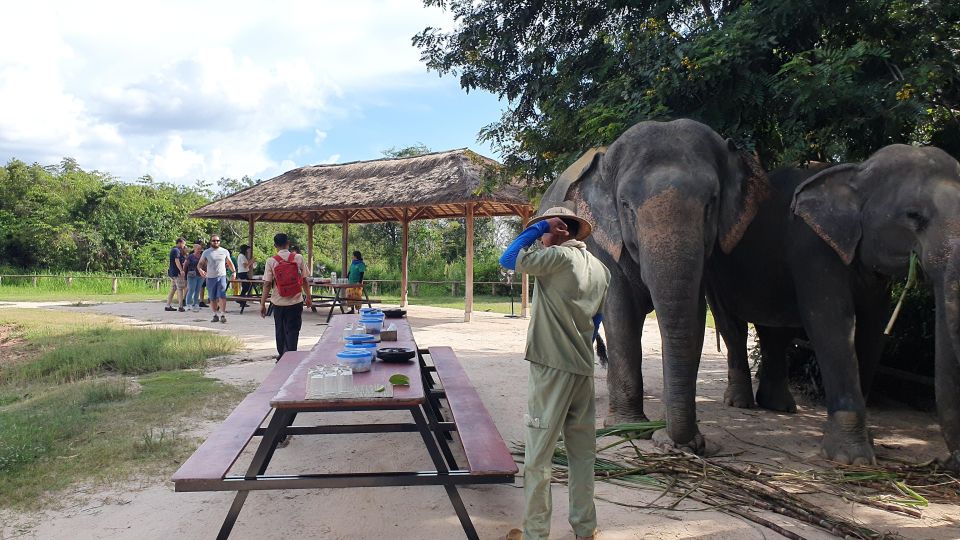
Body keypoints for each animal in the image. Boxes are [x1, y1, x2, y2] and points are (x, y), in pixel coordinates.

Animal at [536, 119, 768, 452]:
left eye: (711, 203)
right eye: (626, 206)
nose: (670, 440)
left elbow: (694, 316)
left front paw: (684, 440)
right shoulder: (603, 239)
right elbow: (619, 313)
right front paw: (628, 430)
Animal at [704, 144, 960, 468]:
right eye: (913, 215)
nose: (947, 462)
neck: (856, 171)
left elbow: (873, 330)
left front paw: (868, 446)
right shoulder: (813, 247)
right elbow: (832, 322)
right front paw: (853, 460)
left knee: (776, 331)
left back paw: (780, 407)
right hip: (715, 267)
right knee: (732, 326)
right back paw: (741, 403)